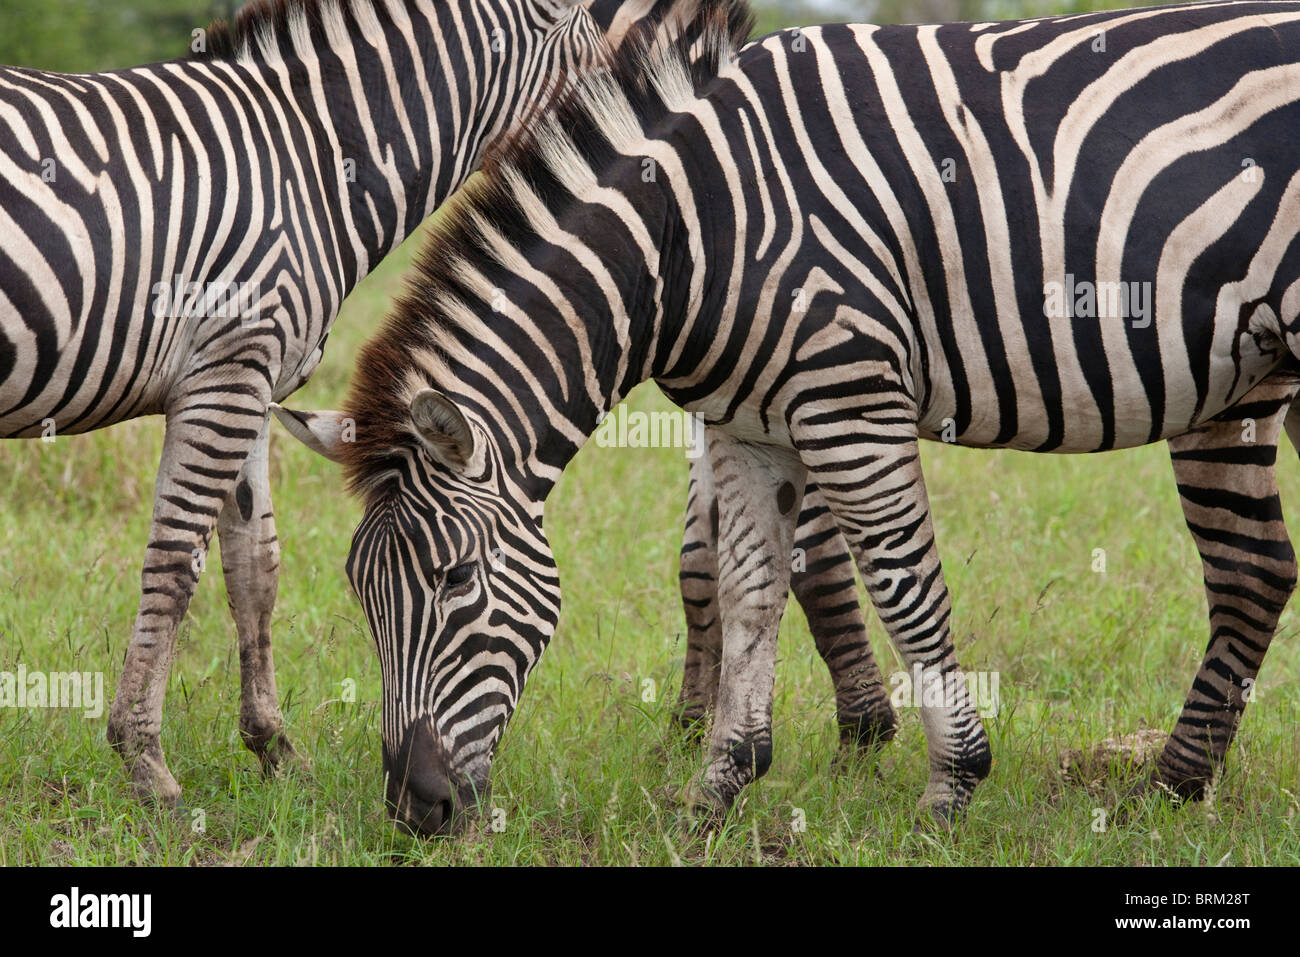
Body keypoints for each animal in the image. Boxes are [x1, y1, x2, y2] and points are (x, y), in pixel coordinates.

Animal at [0, 0, 618, 806]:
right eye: (607, 75)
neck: (315, 158)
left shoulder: (253, 383)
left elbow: (254, 566)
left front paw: (274, 749)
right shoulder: (228, 365)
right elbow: (174, 564)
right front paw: (145, 763)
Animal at [279, 0, 1300, 832]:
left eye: (454, 580)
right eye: (360, 593)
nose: (415, 811)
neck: (688, 233)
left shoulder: (850, 400)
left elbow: (903, 585)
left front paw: (951, 788)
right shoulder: (750, 427)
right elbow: (747, 591)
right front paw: (719, 784)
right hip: (1245, 380)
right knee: (1253, 573)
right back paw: (1169, 789)